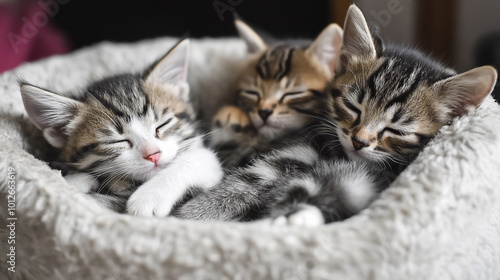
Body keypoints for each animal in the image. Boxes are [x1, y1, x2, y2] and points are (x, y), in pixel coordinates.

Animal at [19, 38, 223, 214]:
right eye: (116, 141)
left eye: (162, 125)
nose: (153, 155)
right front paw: (76, 181)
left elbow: (200, 159)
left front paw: (151, 196)